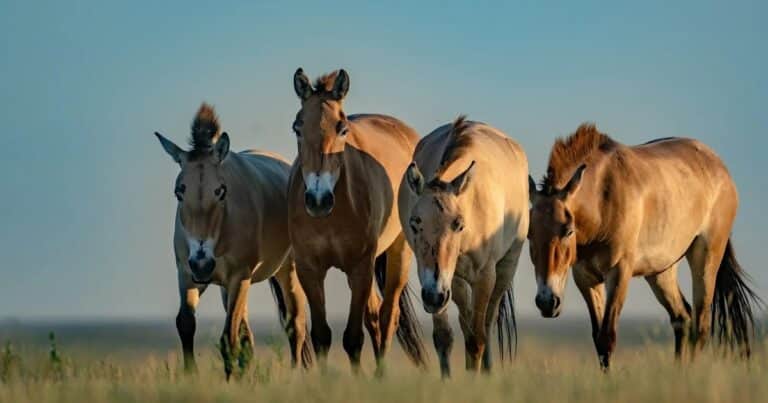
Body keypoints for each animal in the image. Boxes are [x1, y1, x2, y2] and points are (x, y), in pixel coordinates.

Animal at [155, 103, 312, 379]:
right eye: (179, 191)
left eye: (221, 191)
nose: (202, 264)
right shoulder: (186, 274)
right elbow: (186, 323)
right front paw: (191, 376)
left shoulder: (239, 277)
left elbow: (228, 339)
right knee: (248, 336)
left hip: (287, 272)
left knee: (295, 325)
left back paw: (294, 375)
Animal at [288, 68, 427, 373]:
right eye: (297, 128)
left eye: (342, 129)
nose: (318, 200)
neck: (330, 218)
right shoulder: (309, 269)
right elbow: (322, 335)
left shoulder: (361, 267)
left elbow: (353, 337)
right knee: (374, 317)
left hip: (398, 254)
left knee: (387, 317)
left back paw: (380, 374)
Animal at [401, 117, 528, 376]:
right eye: (415, 223)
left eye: (458, 224)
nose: (434, 297)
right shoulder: (441, 280)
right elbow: (444, 337)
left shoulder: (484, 277)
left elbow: (477, 337)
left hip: (506, 267)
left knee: (487, 324)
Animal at [527, 123, 762, 369]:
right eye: (529, 234)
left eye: (568, 231)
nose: (546, 302)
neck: (603, 197)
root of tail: (719, 167)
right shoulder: (585, 278)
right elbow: (599, 341)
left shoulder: (619, 272)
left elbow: (607, 337)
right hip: (661, 271)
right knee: (682, 318)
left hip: (706, 259)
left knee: (701, 326)